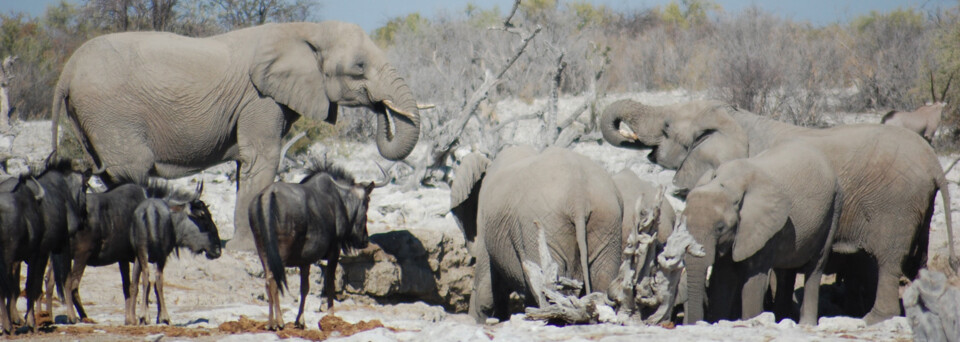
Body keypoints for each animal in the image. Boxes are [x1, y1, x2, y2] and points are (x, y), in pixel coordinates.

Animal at [49, 22, 420, 251]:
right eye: (359, 68)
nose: (381, 108)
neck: (305, 30)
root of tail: (66, 72)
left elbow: (249, 163)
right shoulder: (260, 97)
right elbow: (261, 157)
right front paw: (250, 249)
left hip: (91, 118)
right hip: (110, 112)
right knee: (130, 170)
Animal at [454, 146, 628, 322]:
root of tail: (578, 196)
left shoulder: (485, 224)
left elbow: (485, 292)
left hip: (543, 224)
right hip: (608, 221)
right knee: (603, 277)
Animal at [684, 142, 840, 326]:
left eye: (720, 228)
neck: (729, 184)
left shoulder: (765, 229)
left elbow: (754, 277)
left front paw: (751, 320)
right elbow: (725, 275)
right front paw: (719, 321)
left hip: (834, 209)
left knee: (816, 266)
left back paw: (806, 323)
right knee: (785, 271)